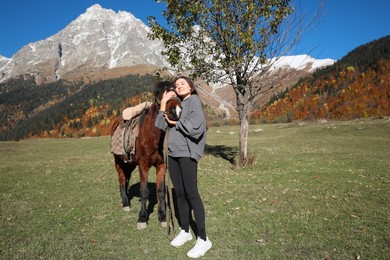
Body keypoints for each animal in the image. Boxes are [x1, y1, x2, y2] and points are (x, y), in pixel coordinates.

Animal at [111, 80, 181, 229]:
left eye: (176, 92)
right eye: (159, 93)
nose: (176, 110)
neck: (152, 135)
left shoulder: (161, 165)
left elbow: (160, 192)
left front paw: (162, 217)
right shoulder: (143, 165)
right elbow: (144, 191)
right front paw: (142, 218)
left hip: (130, 164)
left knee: (126, 178)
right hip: (118, 162)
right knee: (121, 179)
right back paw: (125, 203)